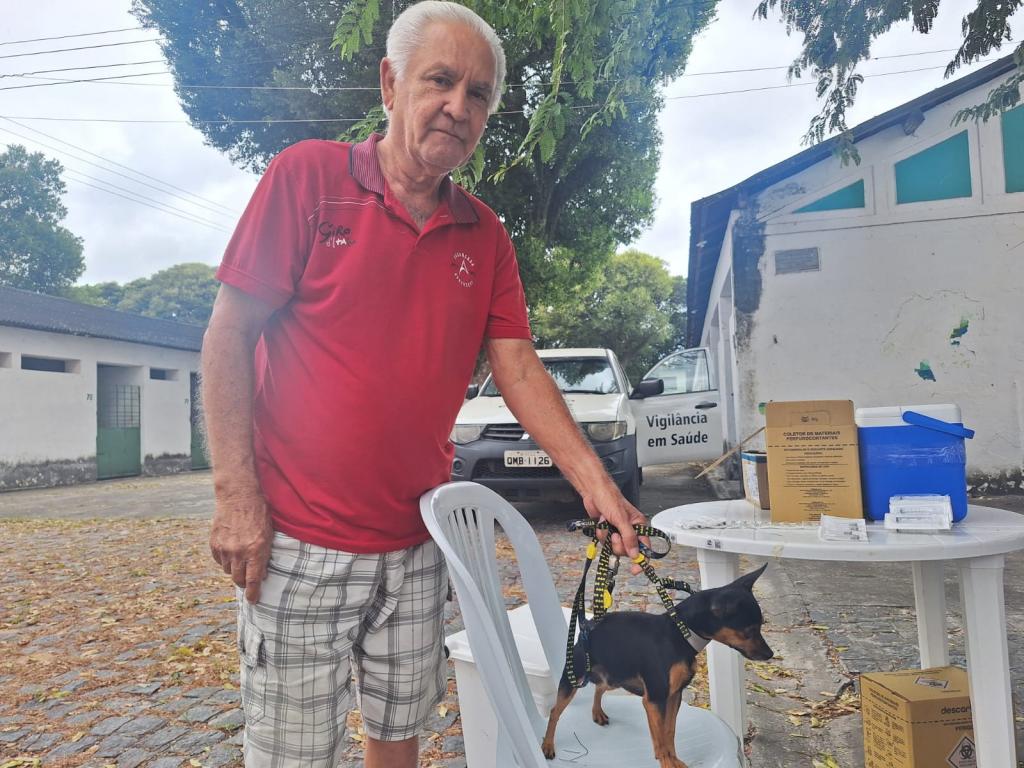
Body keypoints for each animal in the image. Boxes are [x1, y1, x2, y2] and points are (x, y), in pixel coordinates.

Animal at [541, 563, 773, 768]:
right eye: (749, 631)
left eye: (760, 627)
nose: (769, 654)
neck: (680, 633)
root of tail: (587, 625)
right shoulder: (654, 700)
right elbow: (660, 737)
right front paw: (667, 763)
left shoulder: (674, 695)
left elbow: (669, 732)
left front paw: (675, 760)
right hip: (575, 676)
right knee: (555, 711)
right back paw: (547, 745)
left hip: (613, 677)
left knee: (599, 688)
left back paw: (597, 713)